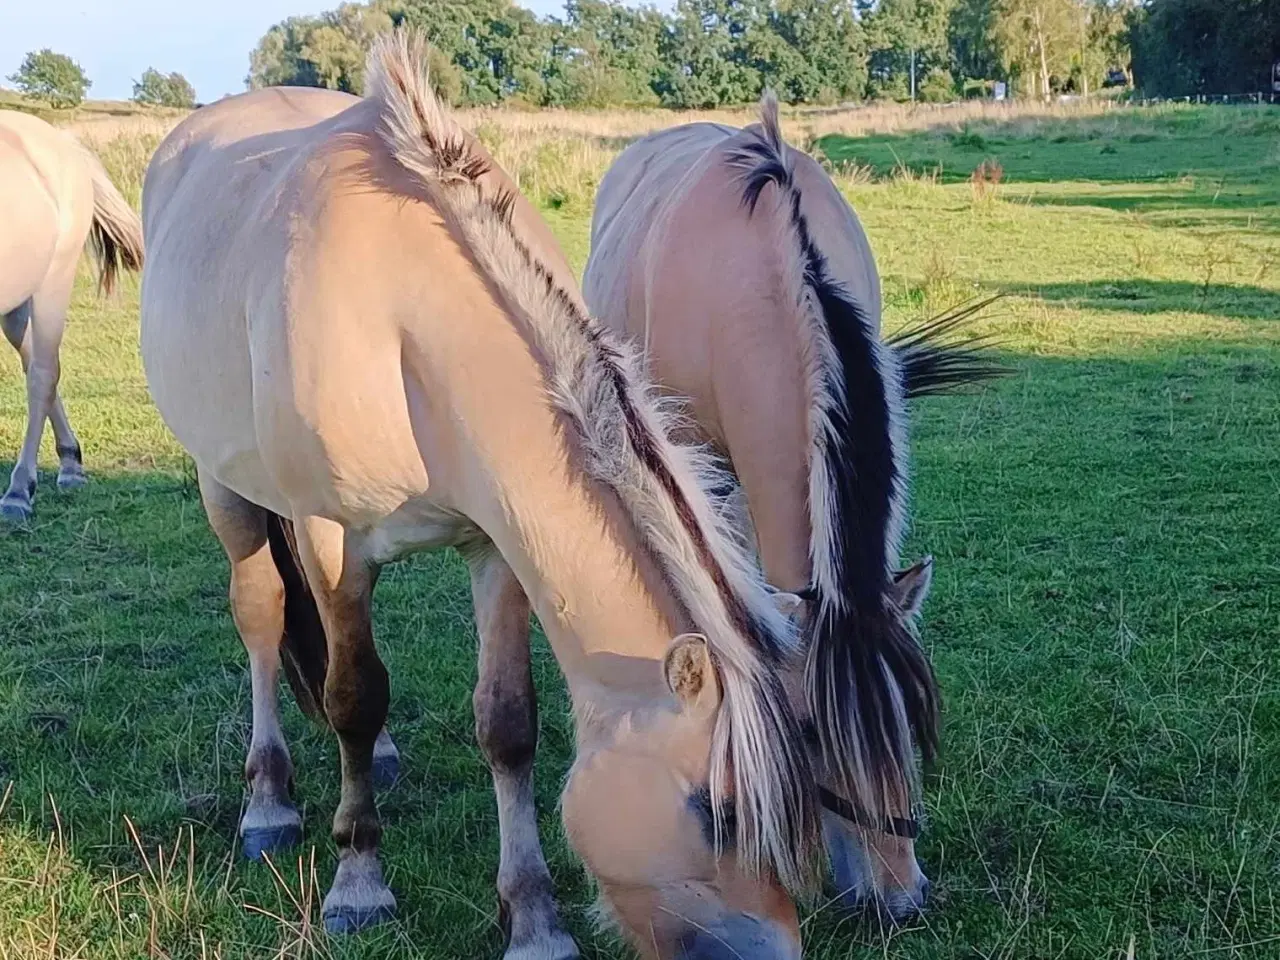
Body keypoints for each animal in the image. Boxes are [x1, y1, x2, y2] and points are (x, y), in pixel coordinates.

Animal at [0, 110, 142, 527]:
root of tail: (64, 144)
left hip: (54, 280)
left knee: (43, 374)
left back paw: (20, 491)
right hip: (16, 303)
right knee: (37, 363)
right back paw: (70, 462)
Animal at [132, 30, 921, 957]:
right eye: (715, 814)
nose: (779, 948)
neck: (404, 322)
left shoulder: (497, 544)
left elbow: (506, 724)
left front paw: (535, 916)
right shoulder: (329, 536)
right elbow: (354, 696)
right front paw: (359, 881)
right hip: (226, 486)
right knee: (263, 621)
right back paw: (270, 803)